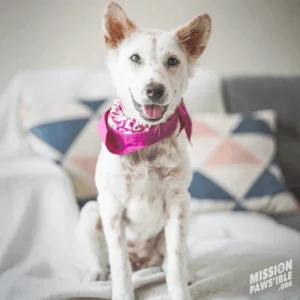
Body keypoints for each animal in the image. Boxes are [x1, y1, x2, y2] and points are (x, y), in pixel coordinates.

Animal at [77, 2, 211, 300]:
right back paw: (97, 272)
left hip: (188, 209)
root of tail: (143, 262)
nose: (154, 90)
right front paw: (123, 293)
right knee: (105, 259)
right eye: (135, 58)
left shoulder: (177, 202)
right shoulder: (111, 206)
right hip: (91, 212)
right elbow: (119, 264)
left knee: (172, 259)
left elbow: (176, 259)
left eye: (173, 61)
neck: (145, 138)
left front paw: (180, 290)